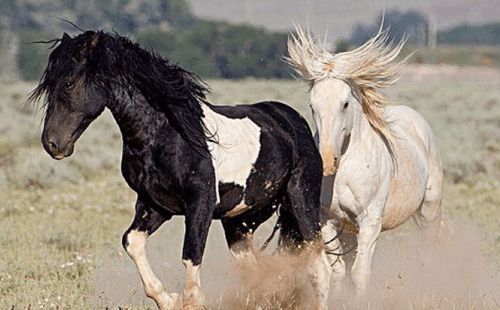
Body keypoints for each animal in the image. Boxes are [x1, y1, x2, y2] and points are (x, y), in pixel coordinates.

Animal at [29, 32, 330, 310]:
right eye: (48, 84)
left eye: (68, 83)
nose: (52, 144)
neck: (167, 134)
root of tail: (292, 119)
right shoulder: (154, 205)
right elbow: (131, 242)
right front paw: (167, 299)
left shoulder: (200, 204)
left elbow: (191, 255)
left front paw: (188, 300)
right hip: (240, 220)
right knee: (255, 271)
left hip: (301, 201)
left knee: (319, 265)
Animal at [286, 27, 446, 296]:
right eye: (312, 105)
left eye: (345, 104)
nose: (327, 161)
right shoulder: (327, 220)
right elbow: (338, 272)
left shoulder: (370, 220)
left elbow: (359, 274)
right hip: (351, 230)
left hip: (428, 211)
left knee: (430, 251)